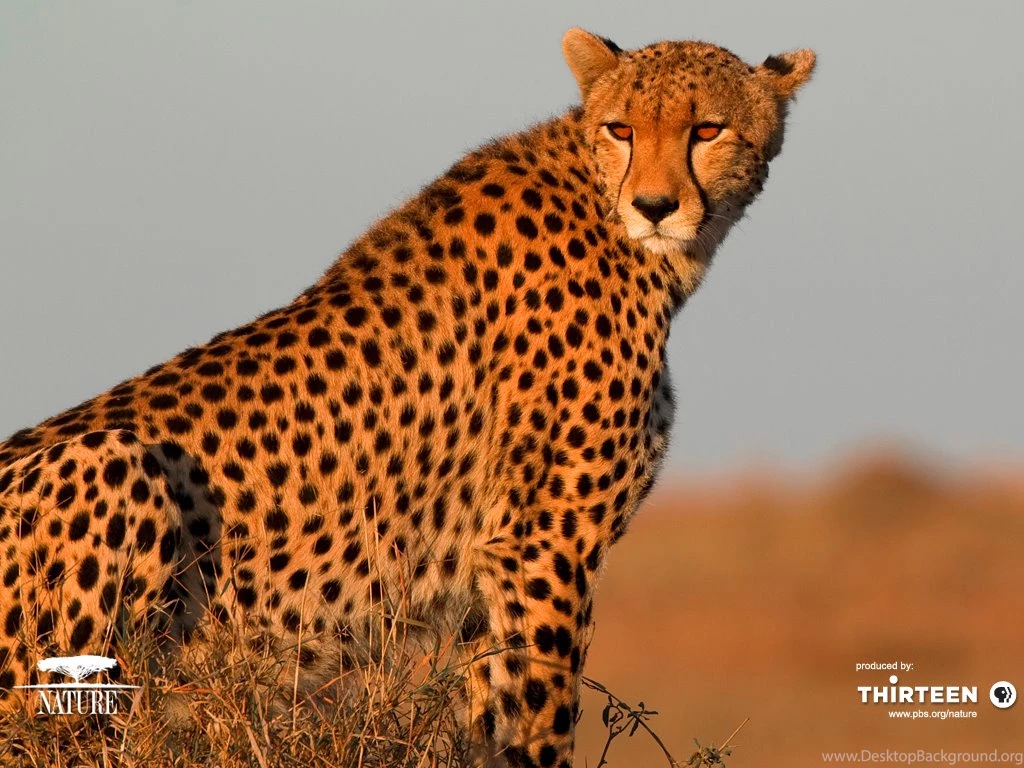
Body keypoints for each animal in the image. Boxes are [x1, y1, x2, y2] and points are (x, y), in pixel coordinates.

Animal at [0, 27, 814, 767]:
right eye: (623, 129)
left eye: (706, 129)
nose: (654, 205)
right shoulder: (544, 544)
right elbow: (542, 711)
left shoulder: (497, 569)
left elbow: (494, 709)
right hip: (110, 466)